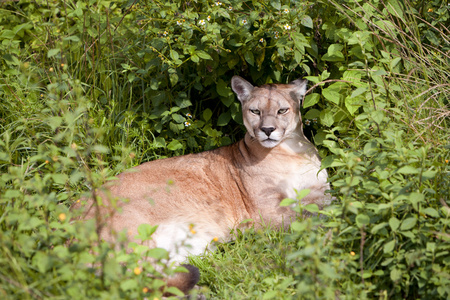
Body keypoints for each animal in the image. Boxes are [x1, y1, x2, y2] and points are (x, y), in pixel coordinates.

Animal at [74, 77, 332, 296]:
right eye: (255, 111)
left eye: (282, 110)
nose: (267, 130)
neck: (292, 151)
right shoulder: (266, 213)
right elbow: (308, 217)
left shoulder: (321, 190)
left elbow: (324, 205)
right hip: (133, 234)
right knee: (133, 281)